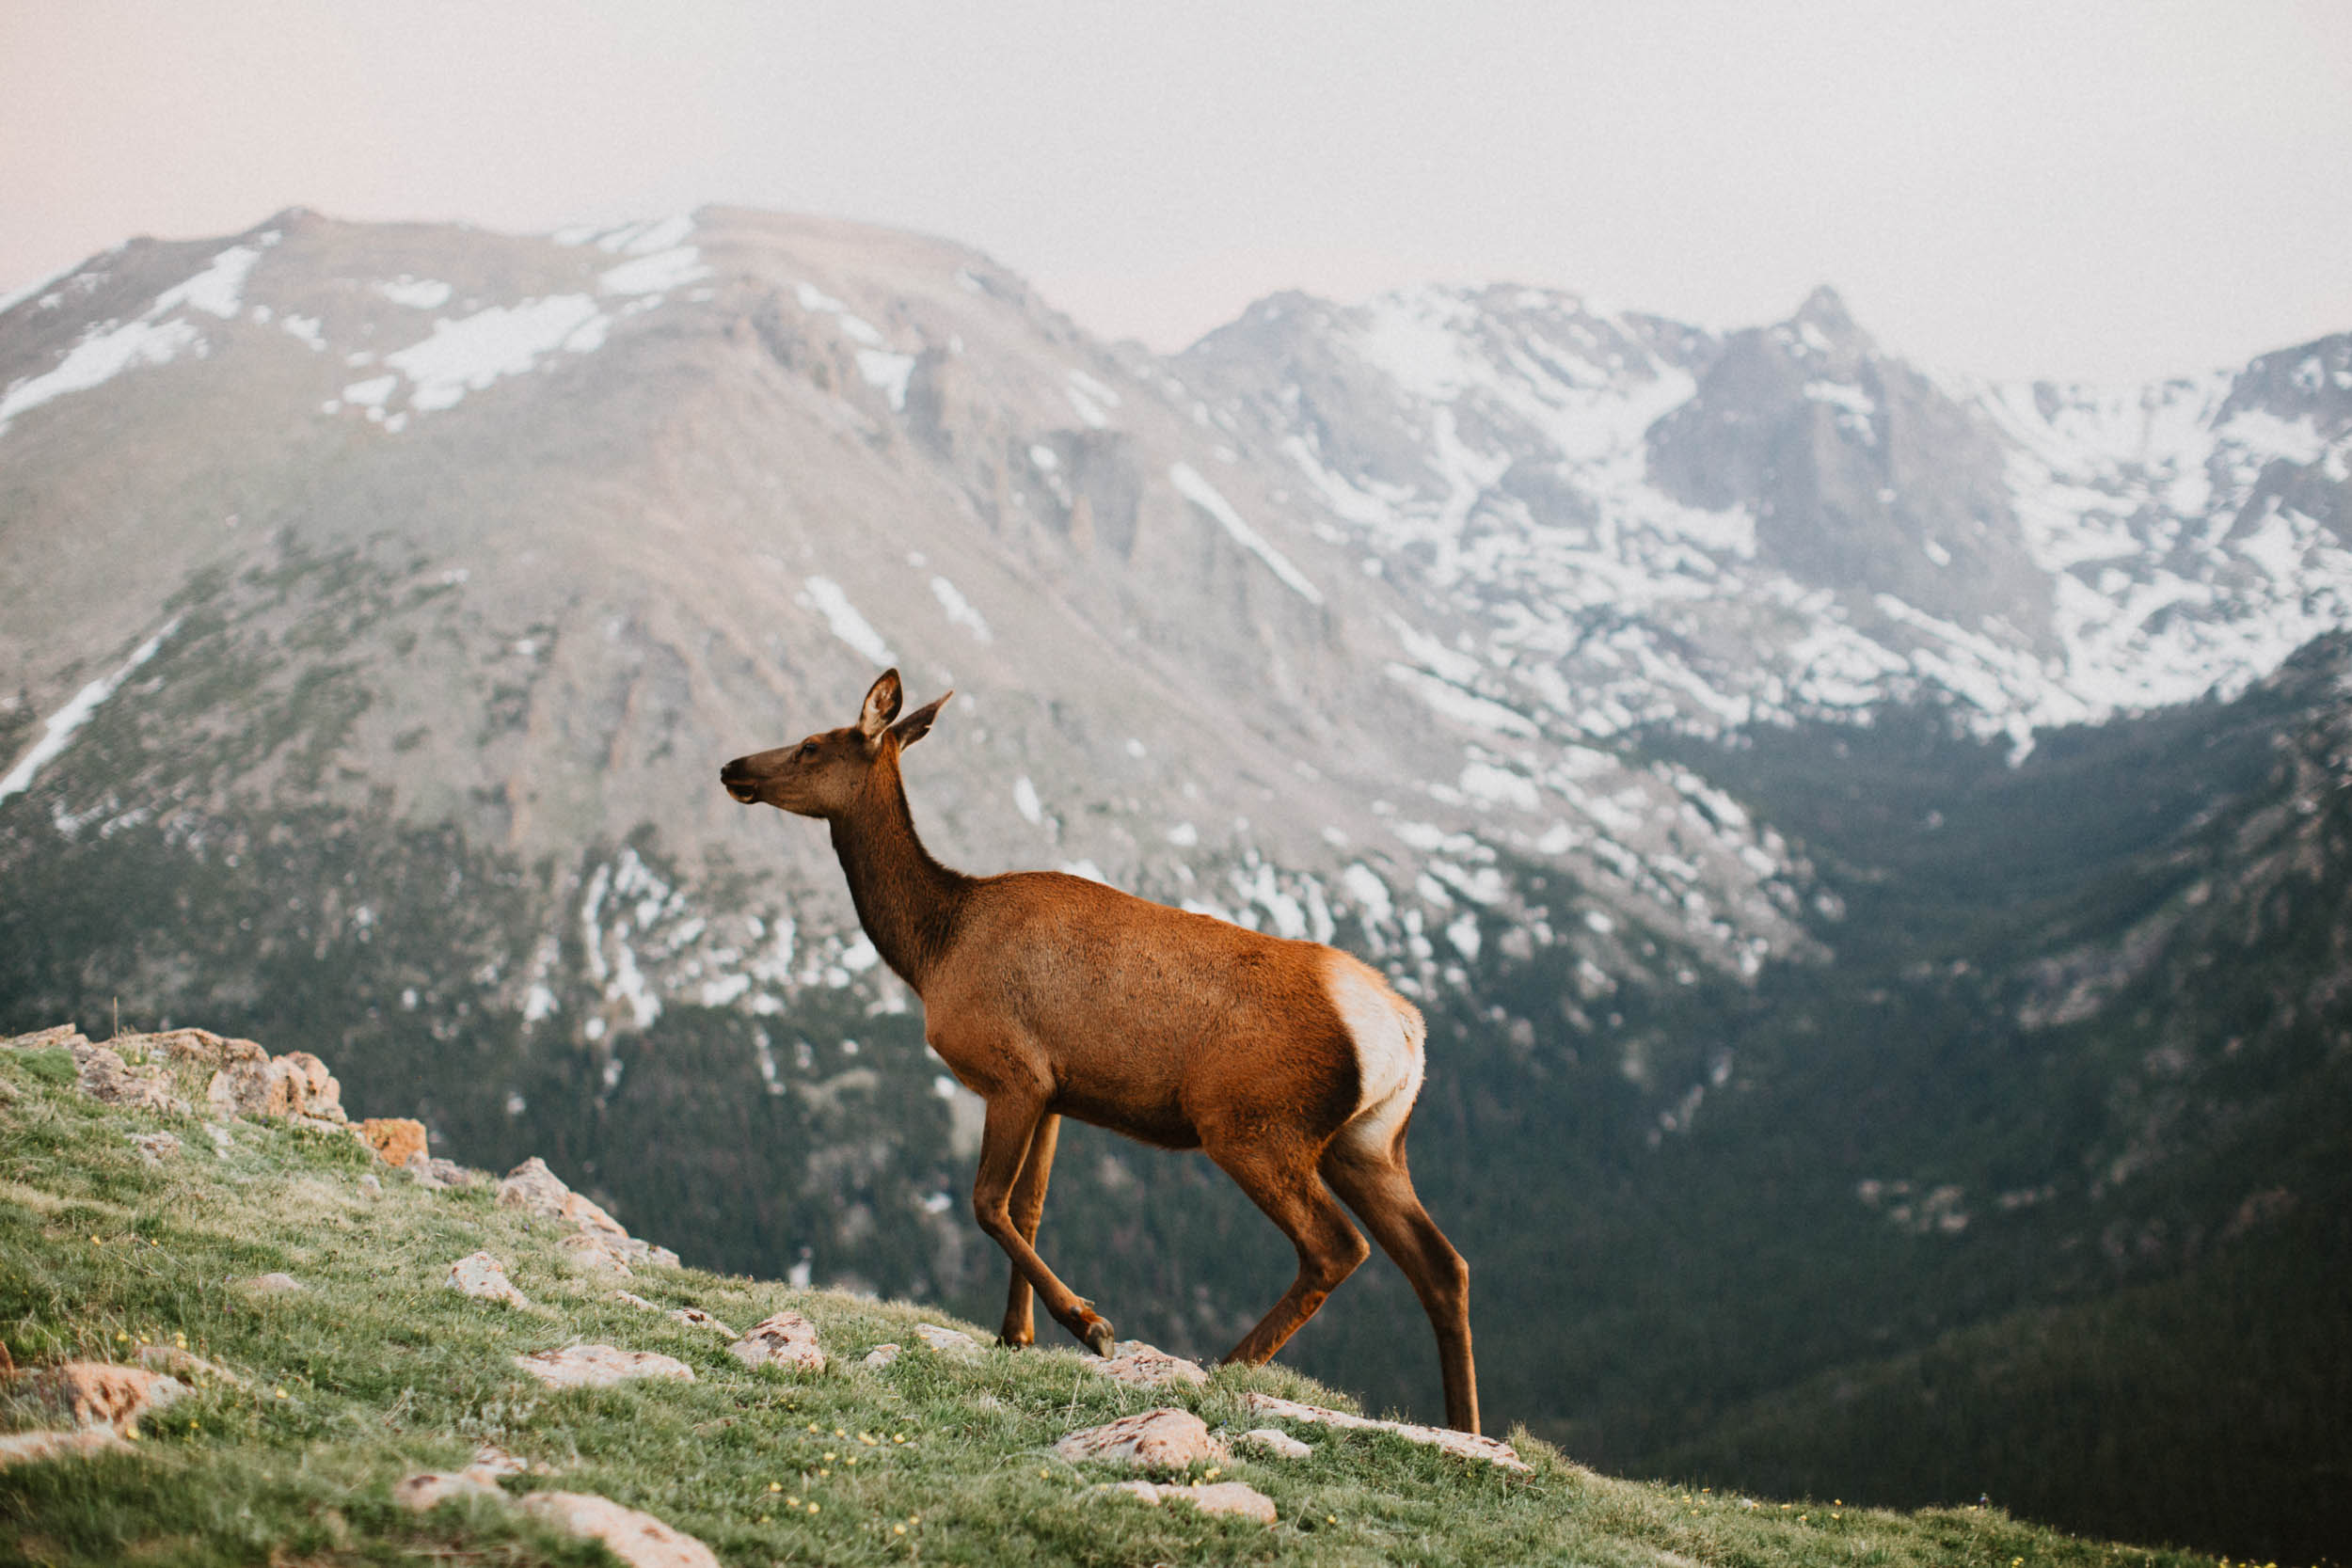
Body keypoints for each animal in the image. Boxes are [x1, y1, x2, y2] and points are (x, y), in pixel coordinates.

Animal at [724, 667, 1477, 1429]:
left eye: (811, 745)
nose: (732, 767)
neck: (935, 949)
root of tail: (1401, 1028)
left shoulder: (1014, 1071)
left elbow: (987, 1202)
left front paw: (1088, 1324)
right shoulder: (1058, 1091)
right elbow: (1029, 1206)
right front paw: (1015, 1334)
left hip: (1253, 1123)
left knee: (1336, 1247)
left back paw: (1225, 1367)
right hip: (1368, 1142)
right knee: (1443, 1264)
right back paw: (1466, 1427)